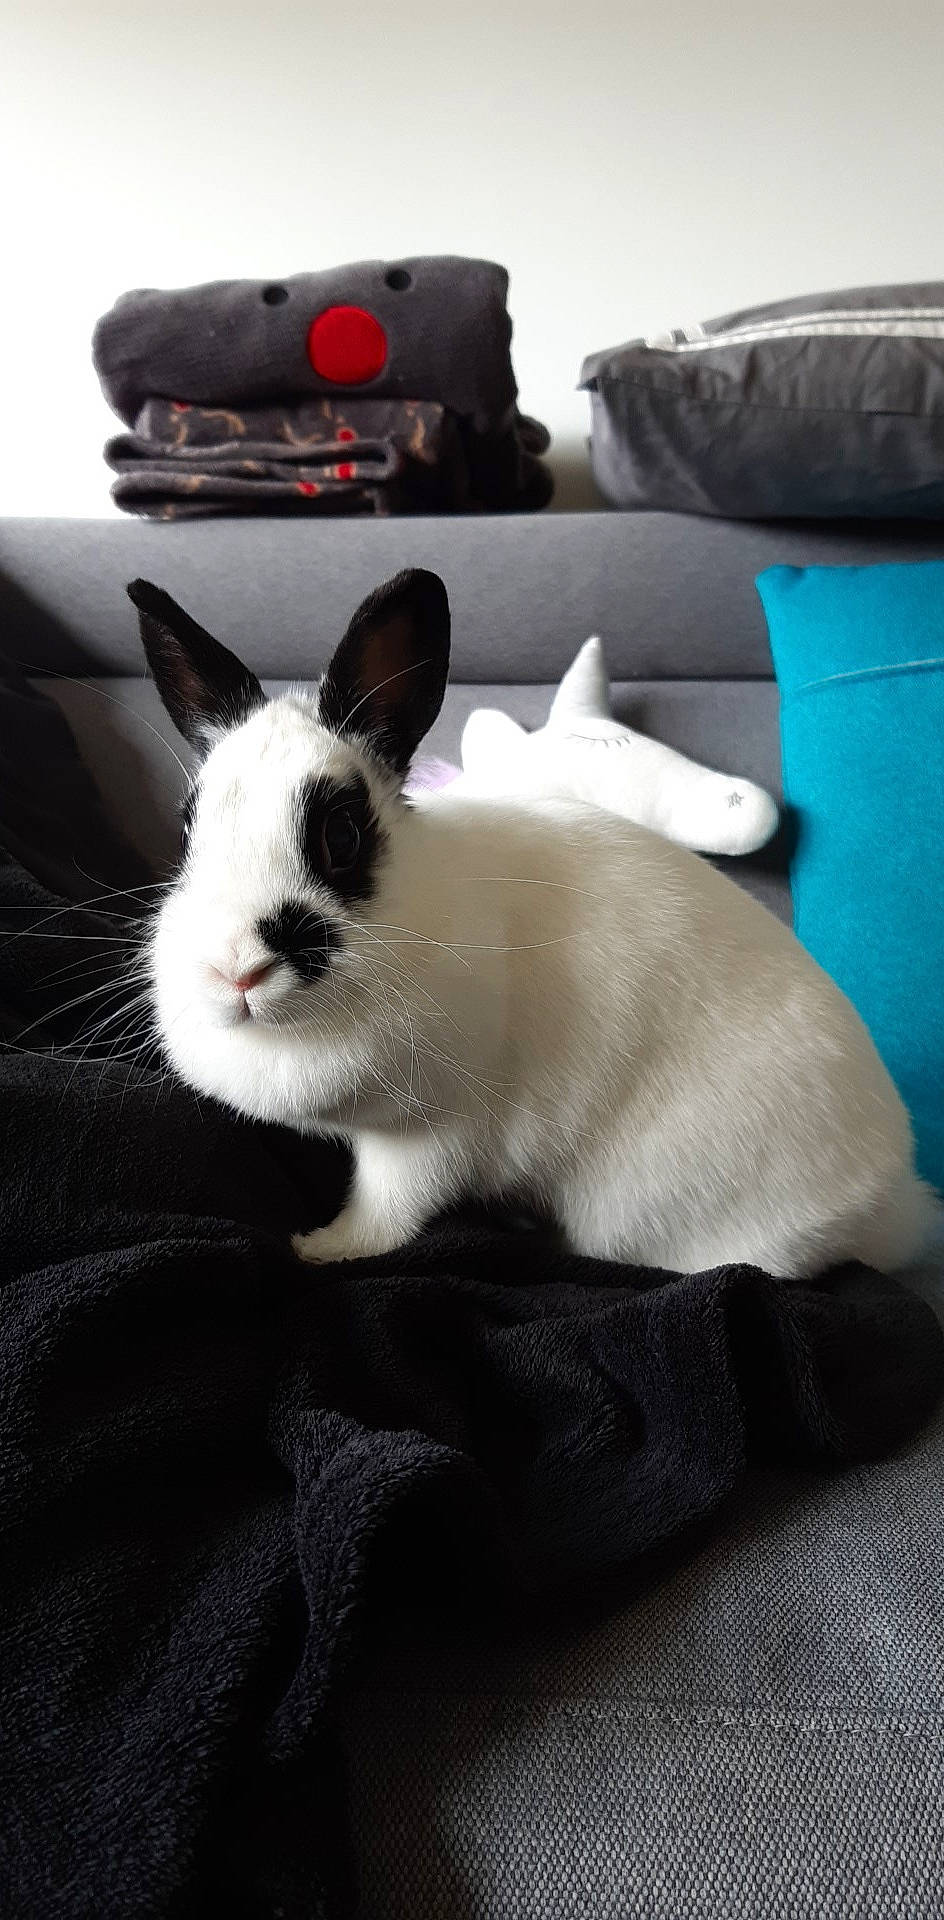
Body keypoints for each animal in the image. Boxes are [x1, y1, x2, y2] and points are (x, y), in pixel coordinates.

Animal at [129, 568, 938, 1280]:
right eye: (188, 828)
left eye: (342, 837)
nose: (235, 968)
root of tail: (896, 1203)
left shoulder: (431, 1133)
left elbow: (390, 1212)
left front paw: (321, 1248)